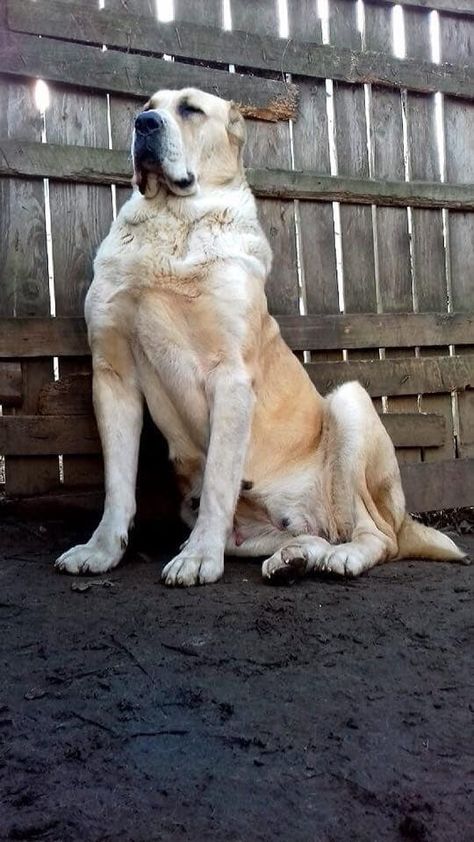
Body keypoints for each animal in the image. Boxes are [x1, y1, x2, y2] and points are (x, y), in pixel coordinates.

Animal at [54, 87, 462, 584]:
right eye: (148, 106)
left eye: (190, 109)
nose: (143, 124)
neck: (172, 218)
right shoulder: (113, 377)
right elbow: (117, 485)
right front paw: (100, 550)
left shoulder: (229, 377)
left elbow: (218, 479)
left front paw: (197, 558)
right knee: (316, 534)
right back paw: (297, 557)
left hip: (351, 405)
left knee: (377, 535)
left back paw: (342, 557)